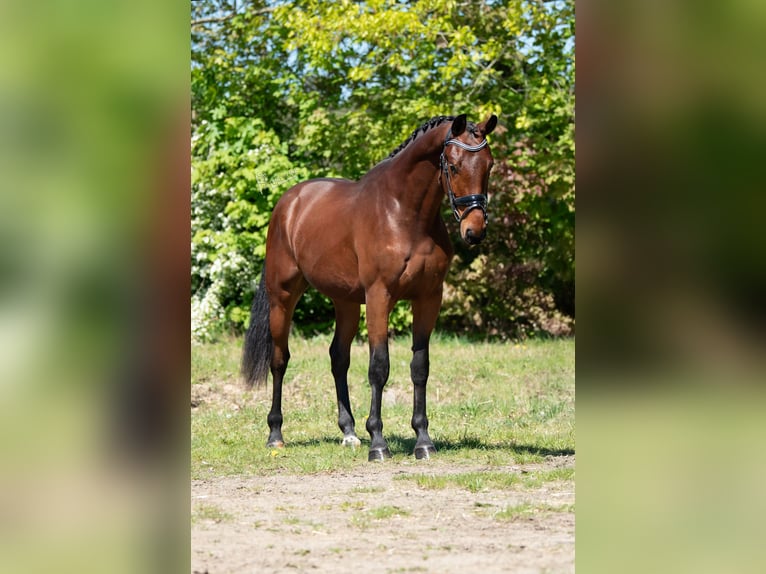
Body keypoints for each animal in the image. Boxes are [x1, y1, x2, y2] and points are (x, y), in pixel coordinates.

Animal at [242, 113, 497, 461]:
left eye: (489, 165)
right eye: (454, 166)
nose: (474, 230)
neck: (403, 214)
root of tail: (289, 202)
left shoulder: (429, 297)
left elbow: (420, 366)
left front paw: (423, 440)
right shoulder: (379, 296)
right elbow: (379, 366)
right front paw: (378, 441)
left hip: (346, 303)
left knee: (338, 358)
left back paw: (349, 432)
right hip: (282, 298)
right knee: (279, 361)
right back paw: (275, 434)